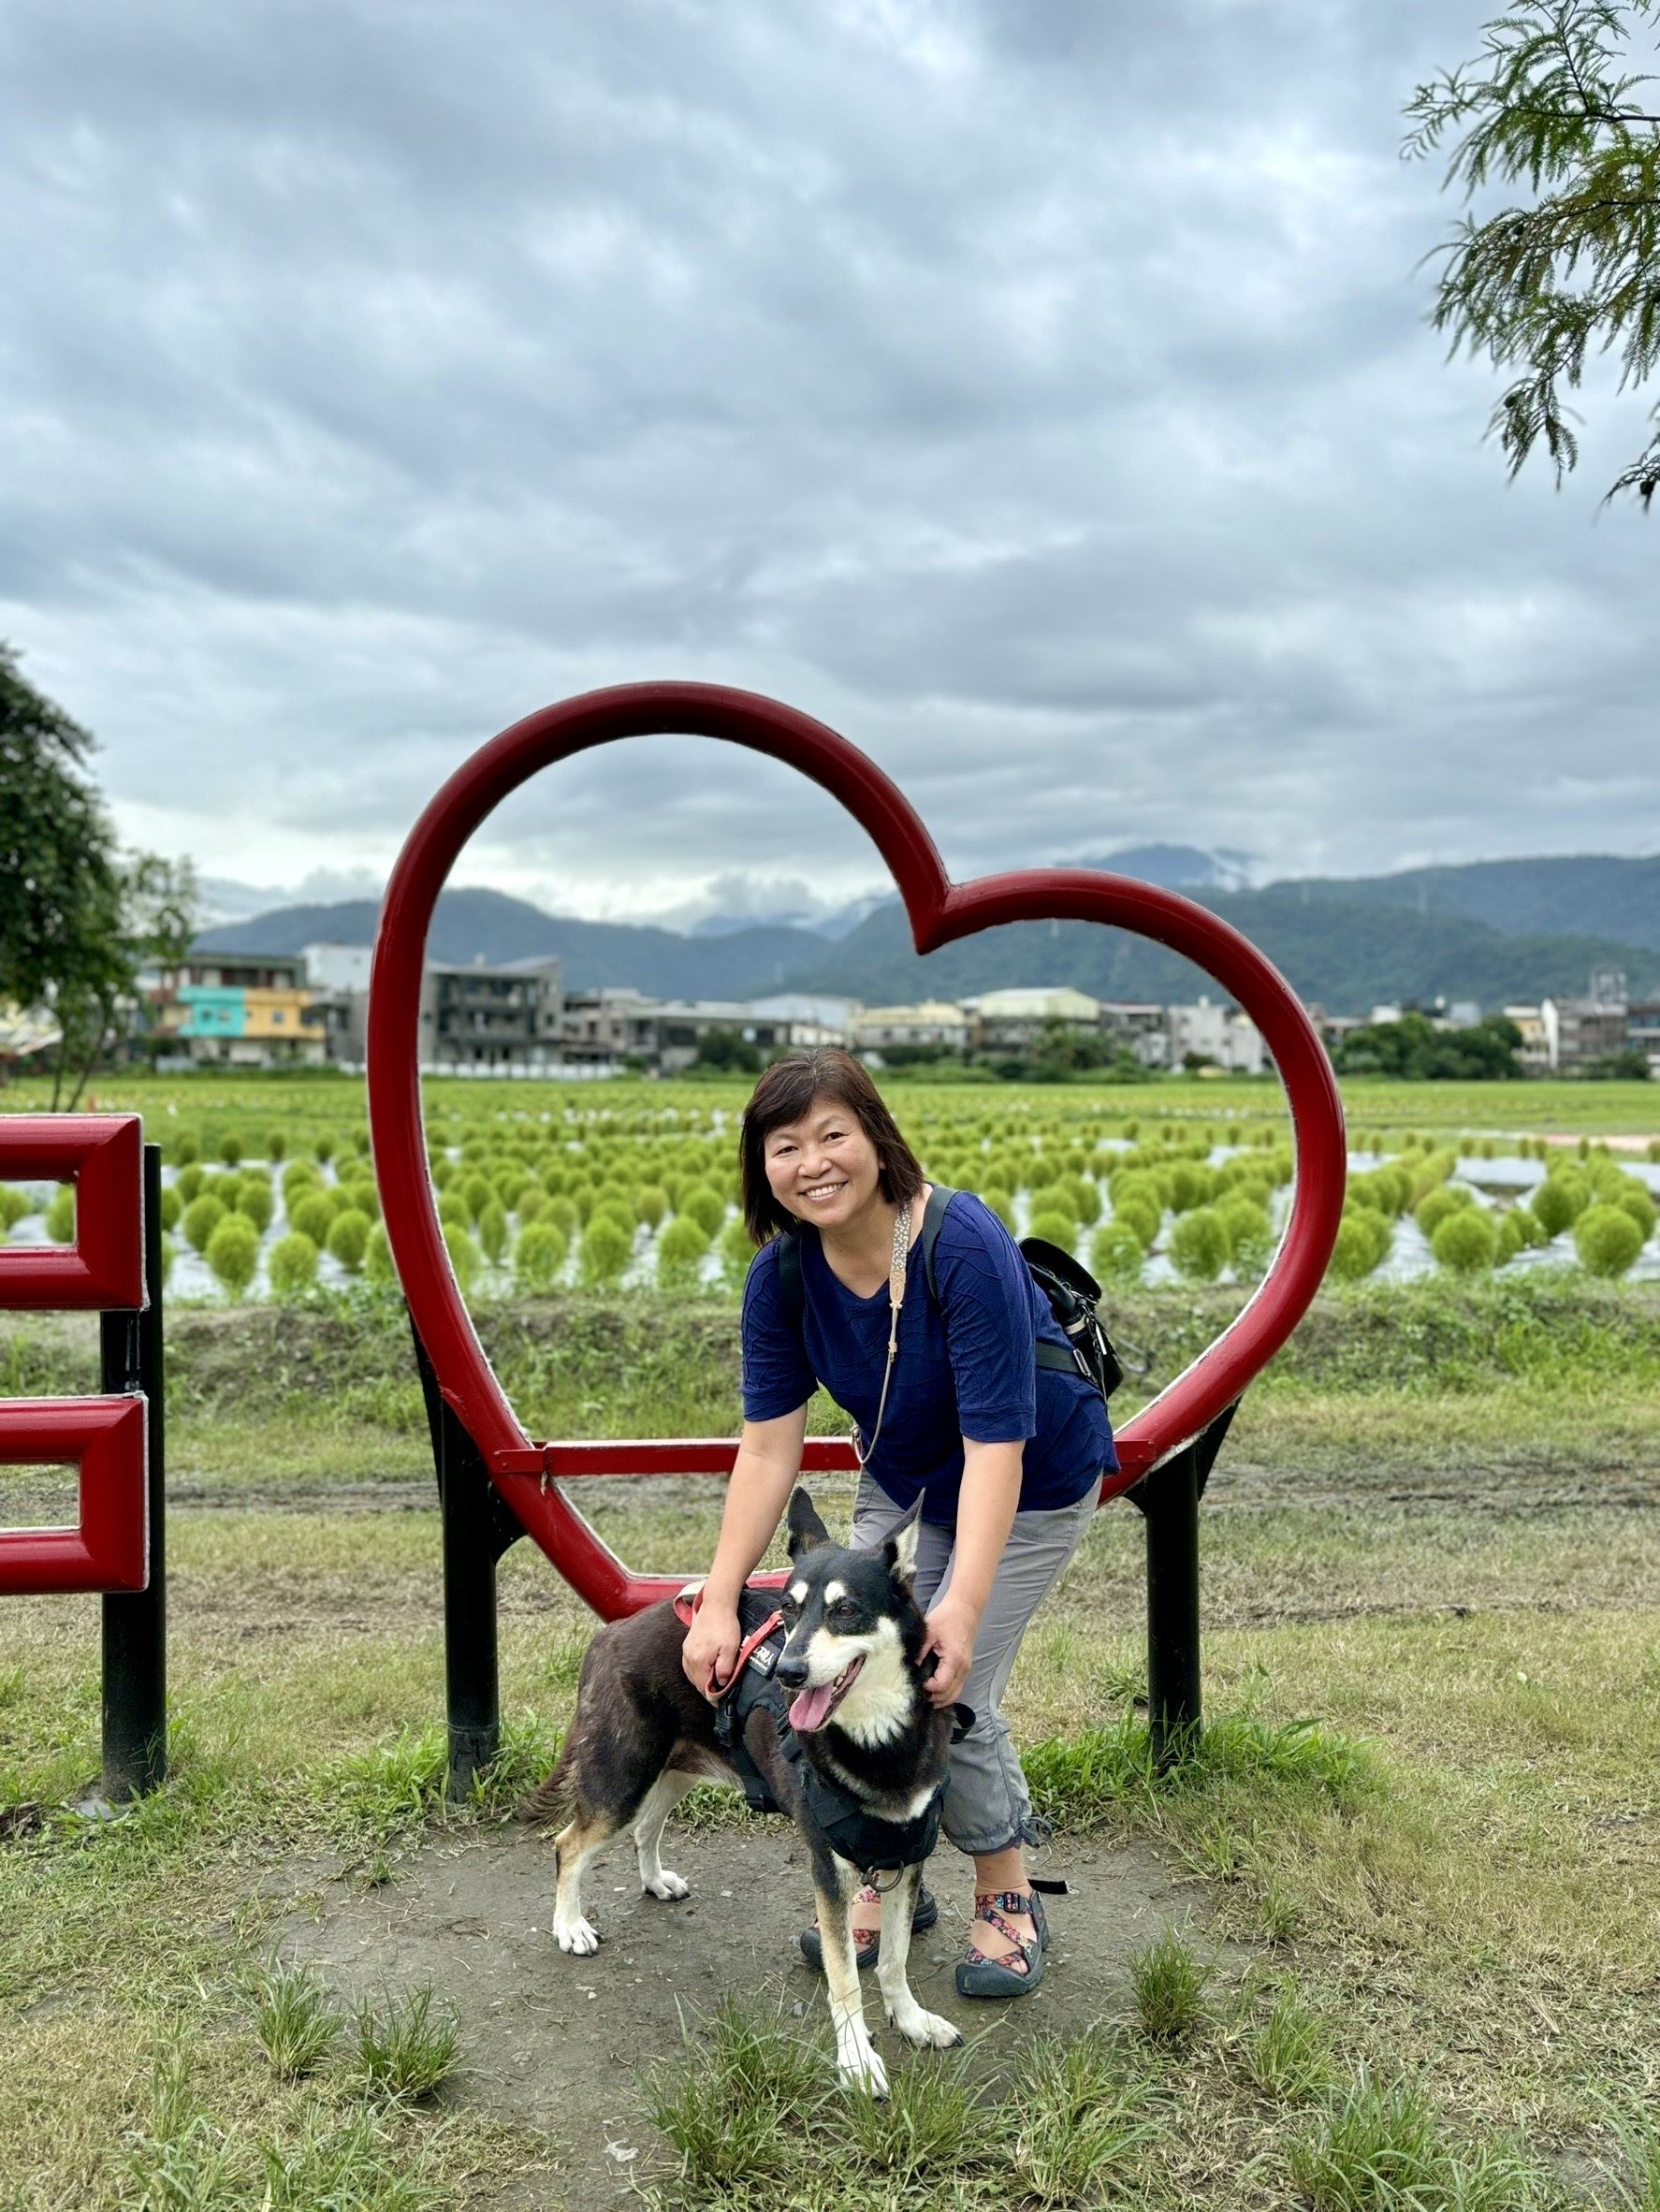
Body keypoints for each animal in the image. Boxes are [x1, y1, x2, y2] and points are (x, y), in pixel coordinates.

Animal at [519, 1486, 960, 2088]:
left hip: (674, 1770)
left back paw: (654, 1881)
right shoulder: (829, 1871)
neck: (877, 1737)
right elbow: (845, 1978)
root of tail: (610, 1634)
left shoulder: (908, 1858)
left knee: (645, 1830)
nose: (788, 1672)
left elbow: (894, 1960)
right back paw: (569, 1927)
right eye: (789, 1610)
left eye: (845, 1610)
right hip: (622, 1778)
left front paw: (912, 2020)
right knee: (568, 1845)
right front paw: (857, 2060)